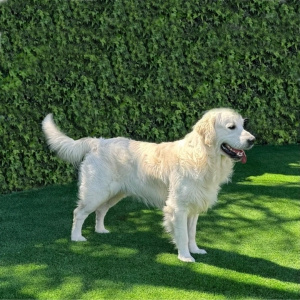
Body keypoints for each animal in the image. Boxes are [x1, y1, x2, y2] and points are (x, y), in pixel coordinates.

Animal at [41, 108, 253, 262]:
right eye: (231, 127)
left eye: (243, 125)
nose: (252, 140)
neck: (202, 155)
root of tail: (97, 142)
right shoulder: (178, 207)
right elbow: (183, 234)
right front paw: (185, 257)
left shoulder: (193, 207)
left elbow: (191, 233)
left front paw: (195, 250)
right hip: (96, 191)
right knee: (79, 213)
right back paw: (76, 237)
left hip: (113, 194)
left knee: (100, 211)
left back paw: (101, 230)